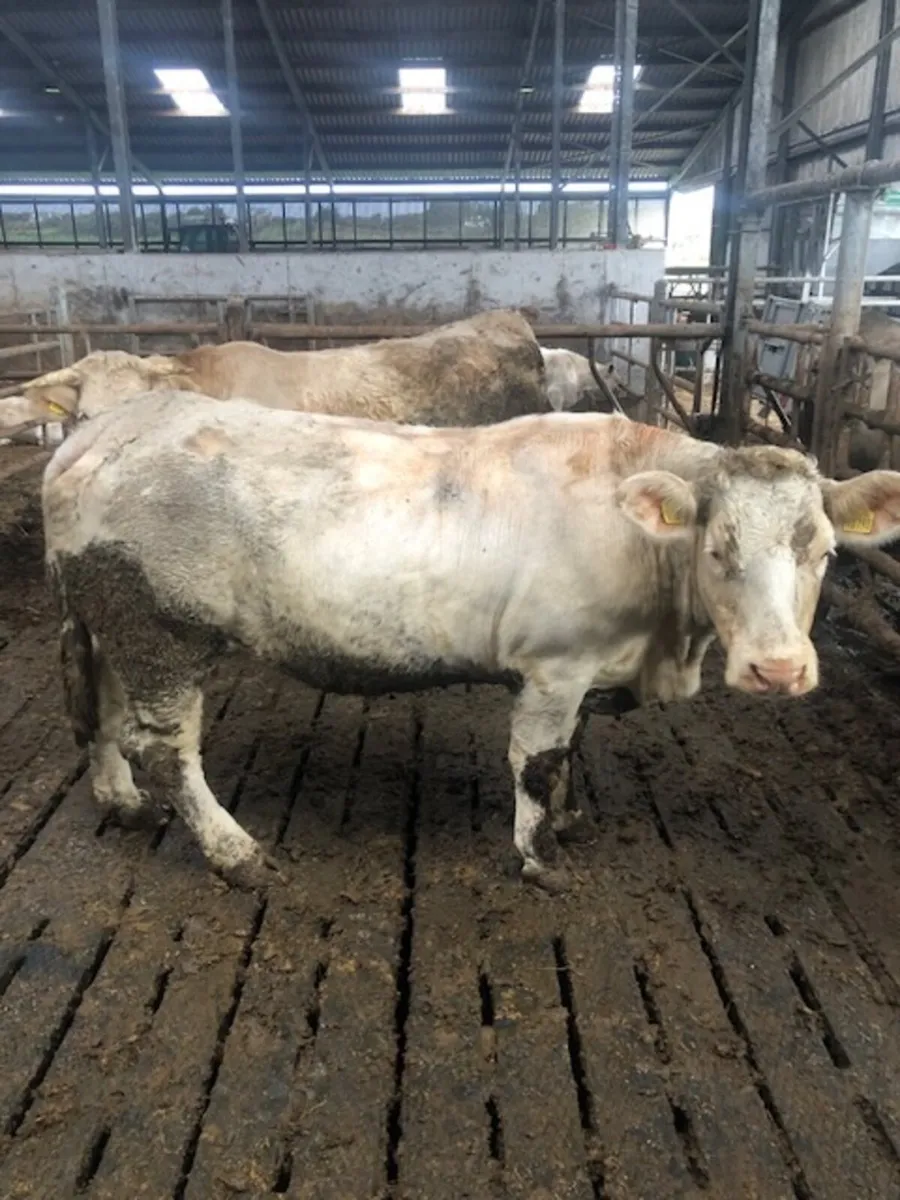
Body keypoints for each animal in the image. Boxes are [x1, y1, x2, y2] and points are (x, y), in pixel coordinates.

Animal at [45, 396, 900, 893]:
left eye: (825, 551)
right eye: (719, 549)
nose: (778, 669)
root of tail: (103, 429)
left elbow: (570, 754)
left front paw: (568, 820)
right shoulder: (556, 663)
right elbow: (538, 761)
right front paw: (540, 857)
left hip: (108, 620)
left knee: (99, 717)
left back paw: (121, 801)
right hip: (162, 628)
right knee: (165, 748)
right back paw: (235, 853)